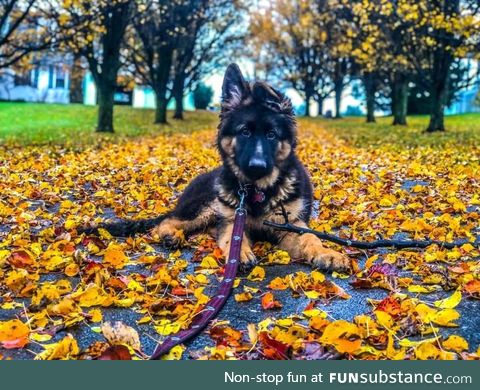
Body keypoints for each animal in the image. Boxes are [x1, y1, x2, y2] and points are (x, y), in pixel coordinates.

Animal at [86, 63, 348, 272]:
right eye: (245, 132)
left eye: (272, 135)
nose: (257, 166)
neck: (256, 192)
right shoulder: (231, 218)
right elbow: (232, 237)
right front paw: (239, 253)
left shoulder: (290, 224)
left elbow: (310, 238)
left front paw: (328, 253)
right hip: (207, 206)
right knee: (167, 222)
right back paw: (170, 234)